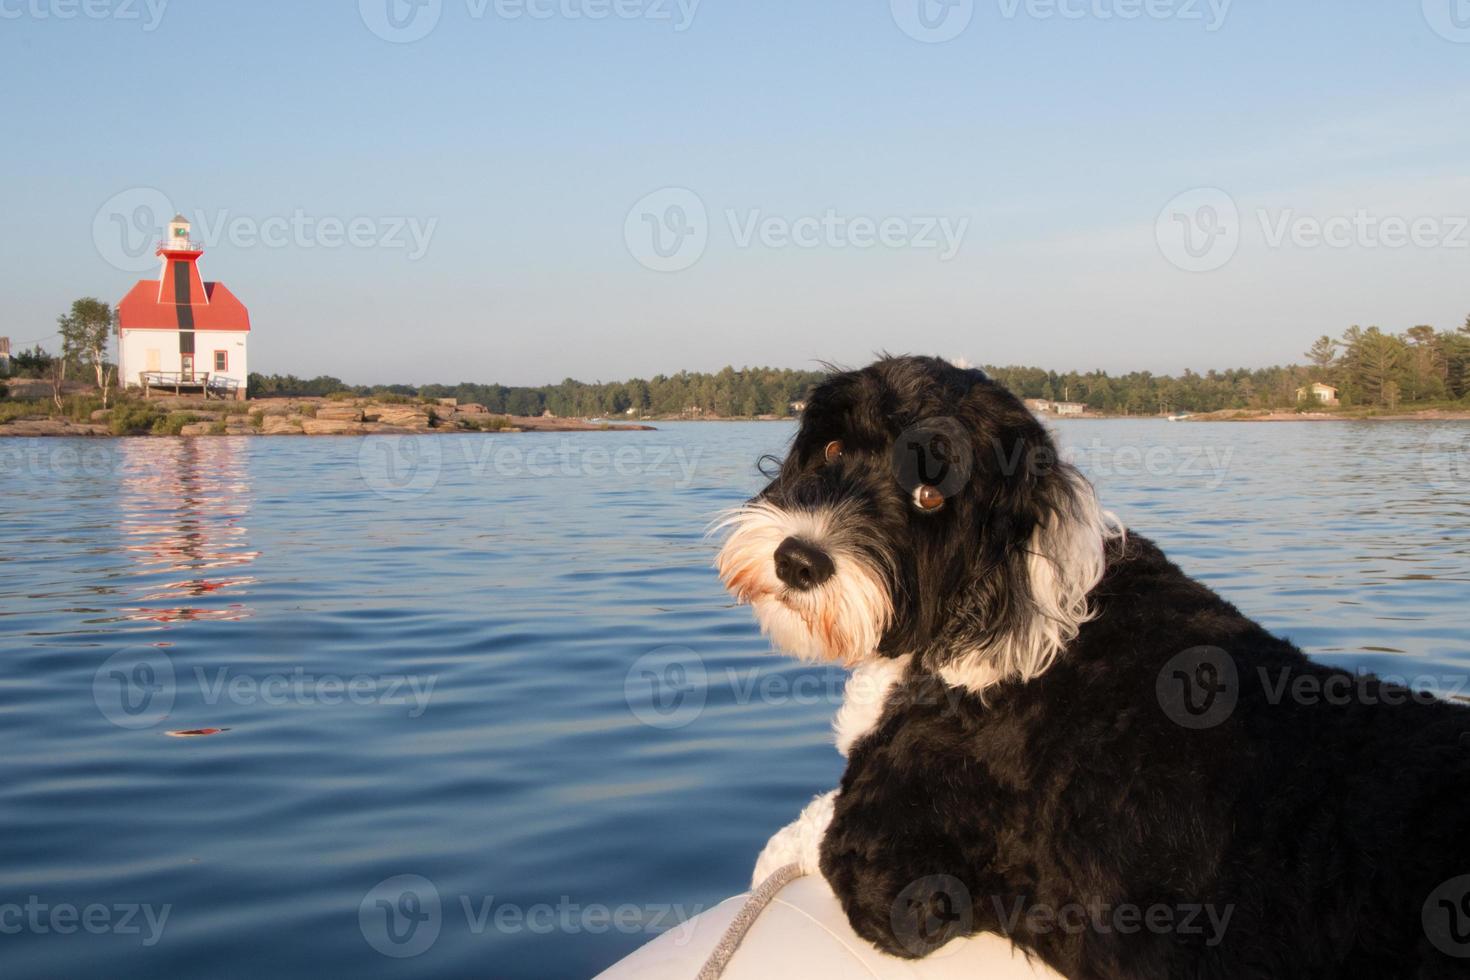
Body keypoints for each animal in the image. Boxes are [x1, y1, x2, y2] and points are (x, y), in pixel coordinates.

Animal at [714, 358, 1470, 980]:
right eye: (833, 447)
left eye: (932, 497)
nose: (799, 560)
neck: (1001, 606)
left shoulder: (901, 875)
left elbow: (811, 835)